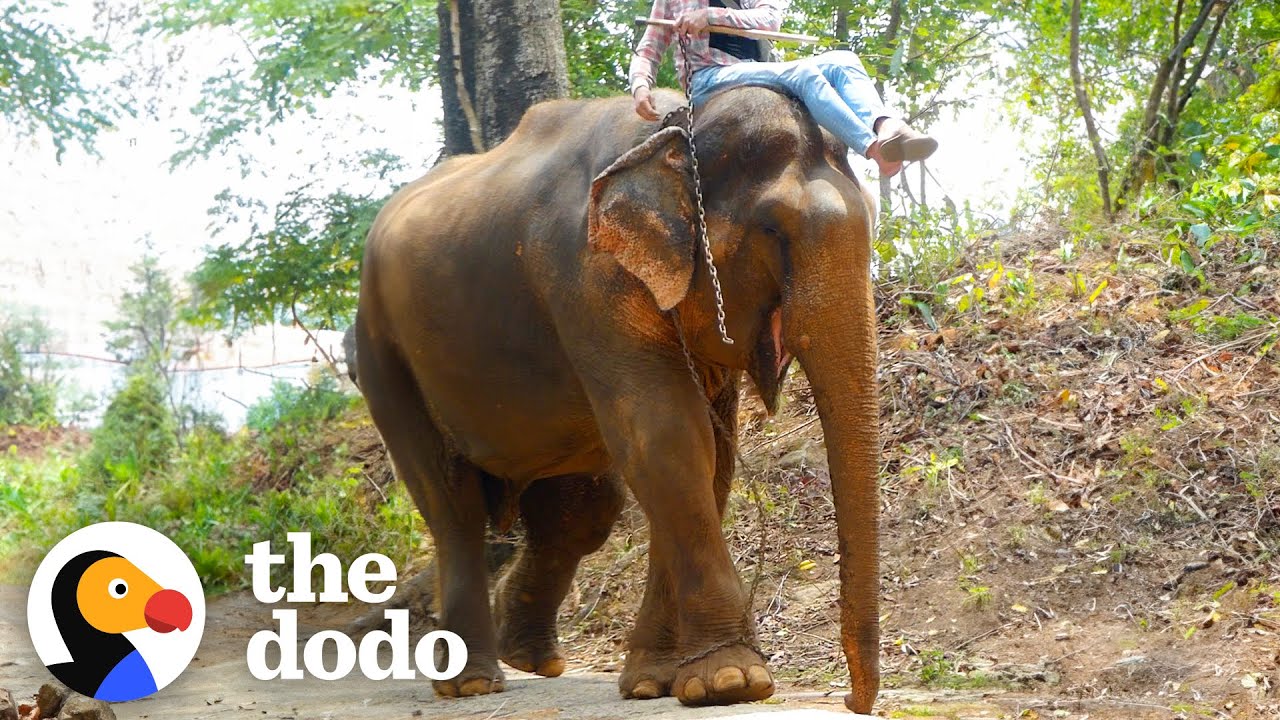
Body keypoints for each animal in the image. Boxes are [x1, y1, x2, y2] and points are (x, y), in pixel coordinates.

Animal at [354, 85, 881, 713]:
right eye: (773, 231)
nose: (852, 701)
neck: (670, 134)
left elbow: (708, 462)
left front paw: (655, 682)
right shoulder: (588, 281)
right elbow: (667, 440)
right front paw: (731, 681)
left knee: (582, 511)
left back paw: (529, 655)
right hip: (382, 357)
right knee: (452, 502)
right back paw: (472, 680)